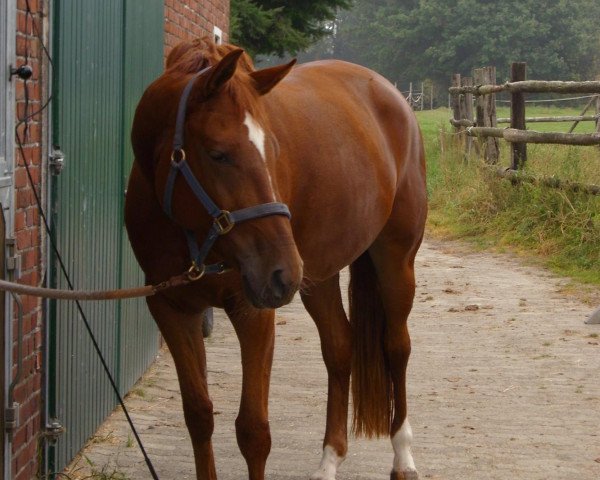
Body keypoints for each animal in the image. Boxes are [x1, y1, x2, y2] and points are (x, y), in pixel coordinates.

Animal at [126, 38, 426, 480]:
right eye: (218, 154)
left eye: (274, 150)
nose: (281, 273)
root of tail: (392, 95)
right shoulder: (171, 308)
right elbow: (199, 416)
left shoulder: (252, 311)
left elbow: (253, 430)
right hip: (318, 277)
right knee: (339, 348)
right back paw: (329, 460)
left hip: (395, 260)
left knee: (396, 347)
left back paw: (404, 458)